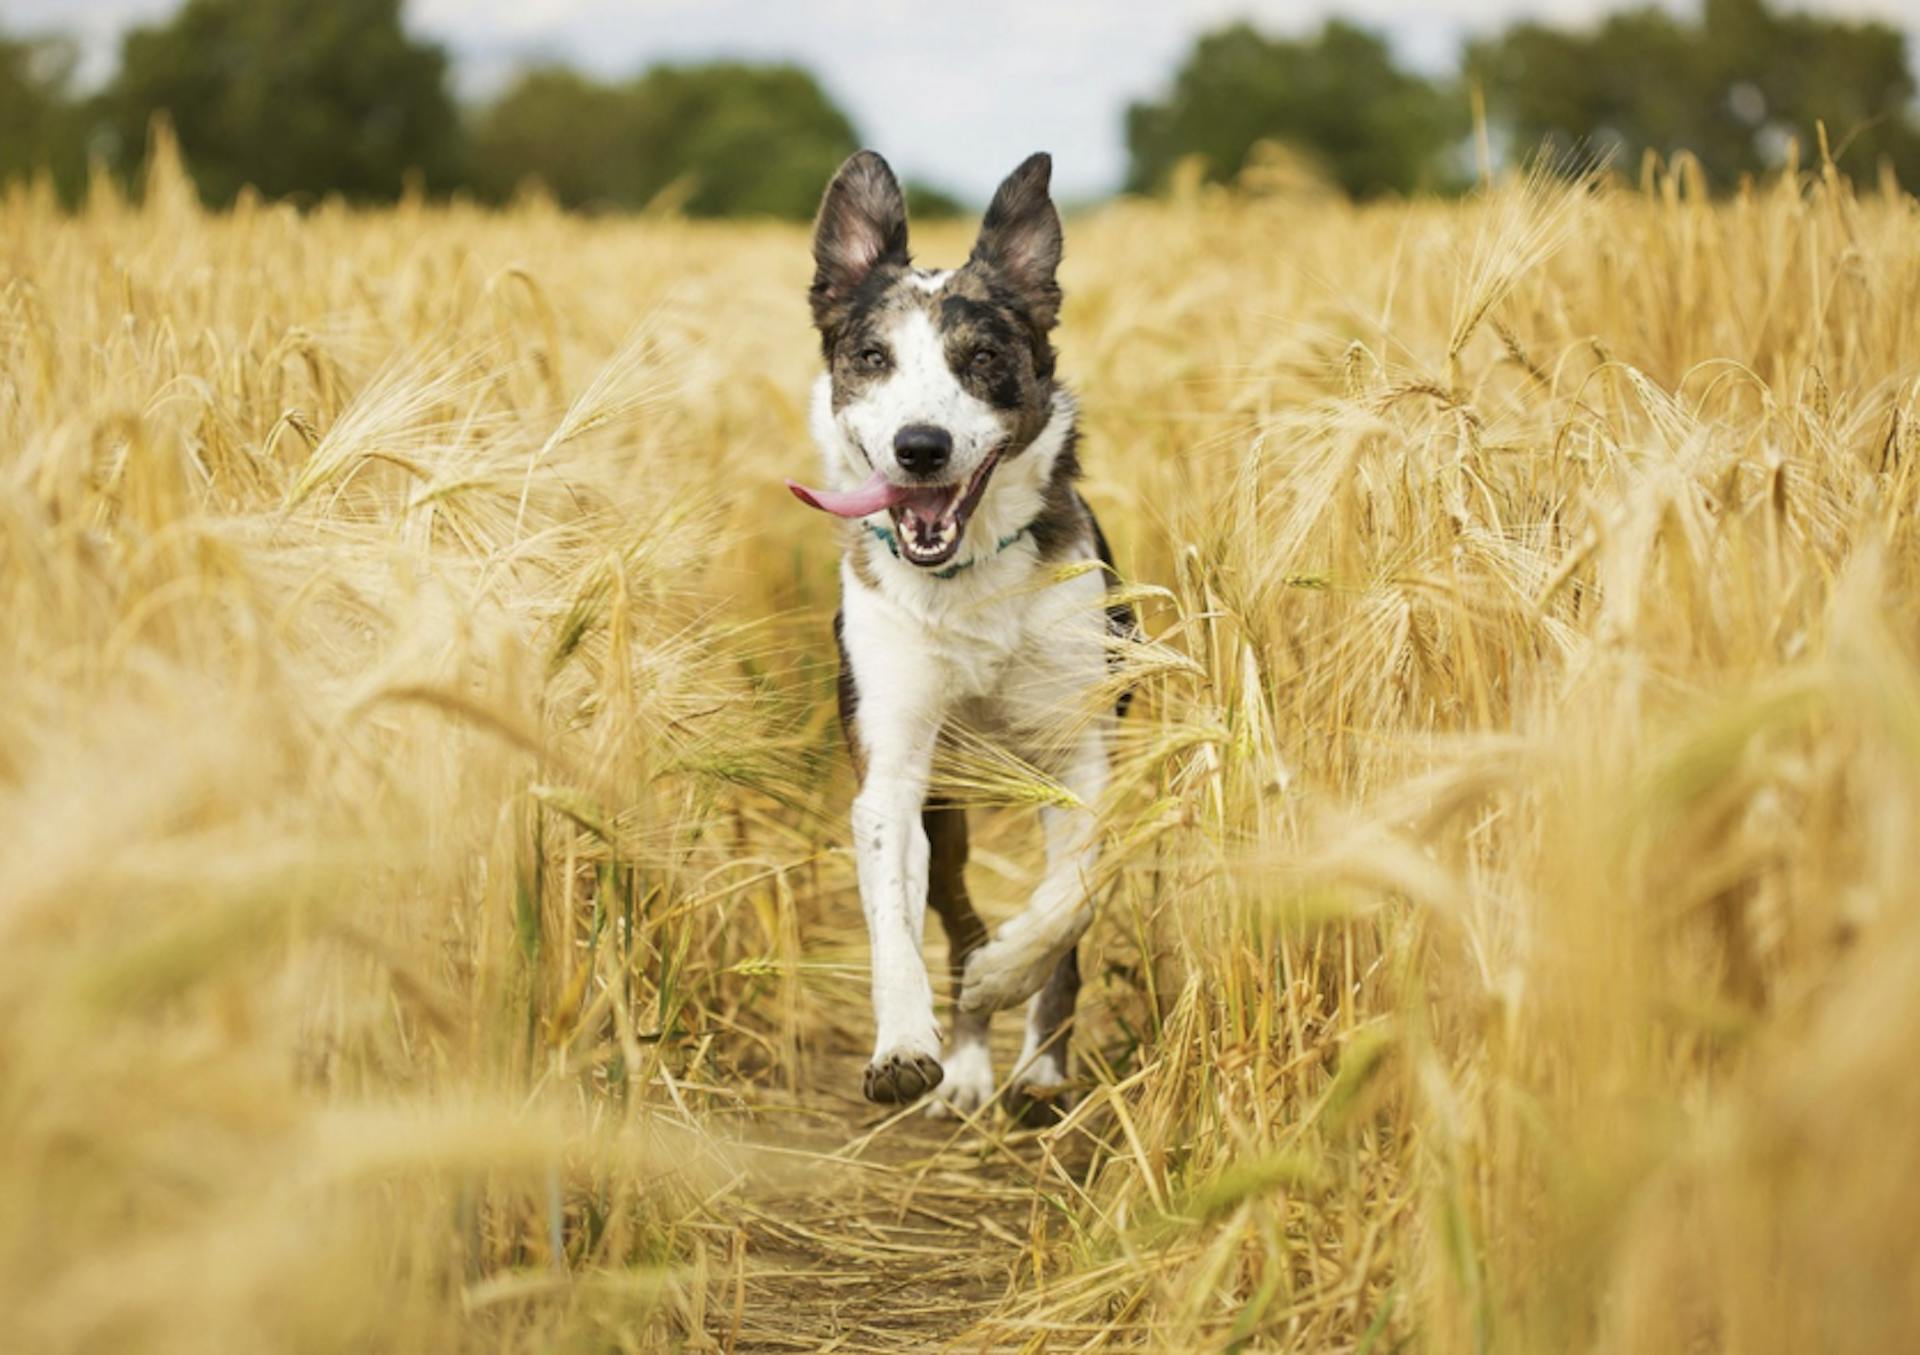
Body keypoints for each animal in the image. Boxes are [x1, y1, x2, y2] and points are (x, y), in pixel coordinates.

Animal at [787, 153, 1128, 1113]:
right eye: (872, 358)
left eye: (982, 358)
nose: (921, 447)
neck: (967, 579)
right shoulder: (895, 771)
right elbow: (893, 920)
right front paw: (906, 1043)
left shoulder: (1082, 756)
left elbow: (1070, 899)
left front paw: (1009, 977)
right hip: (948, 808)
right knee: (954, 911)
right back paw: (969, 1063)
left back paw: (1036, 1065)